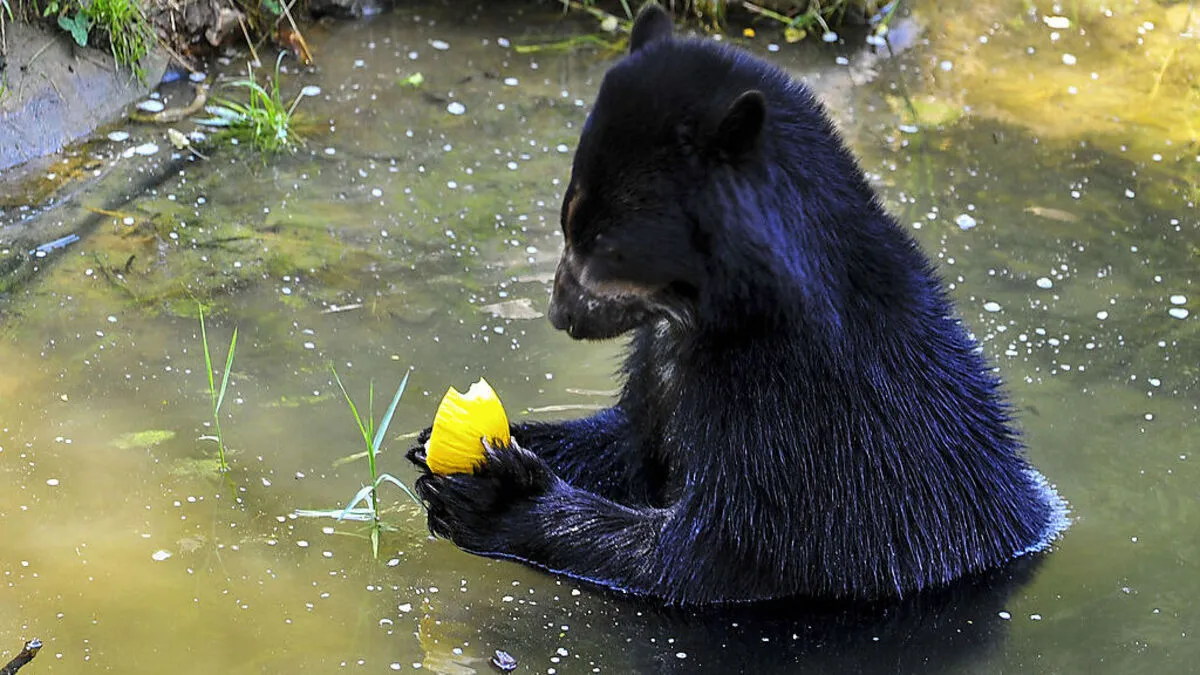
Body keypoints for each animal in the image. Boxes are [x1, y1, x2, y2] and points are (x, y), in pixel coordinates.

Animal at [406, 3, 1069, 606]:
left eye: (608, 244)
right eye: (569, 222)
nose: (561, 315)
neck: (721, 314)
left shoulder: (796, 410)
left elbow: (720, 557)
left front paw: (501, 499)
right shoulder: (663, 359)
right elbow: (628, 443)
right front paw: (452, 441)